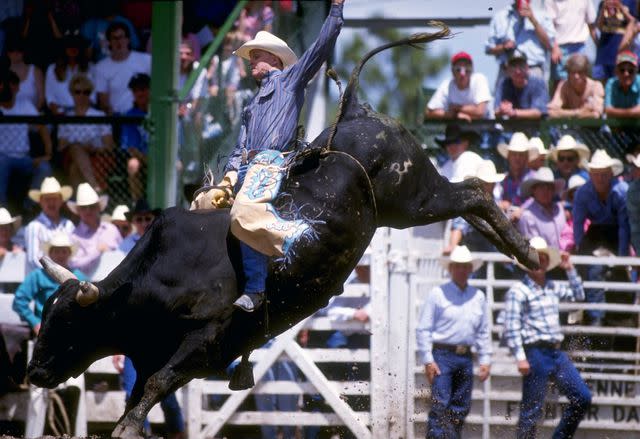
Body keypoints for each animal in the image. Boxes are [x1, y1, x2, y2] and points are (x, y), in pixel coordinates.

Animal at [27, 29, 536, 438]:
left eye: (68, 321)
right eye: (44, 315)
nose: (32, 373)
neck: (159, 278)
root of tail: (357, 111)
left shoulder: (207, 340)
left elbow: (155, 384)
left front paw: (128, 427)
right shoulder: (155, 349)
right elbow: (142, 391)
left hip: (415, 198)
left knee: (474, 191)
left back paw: (530, 253)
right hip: (409, 205)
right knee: (470, 199)